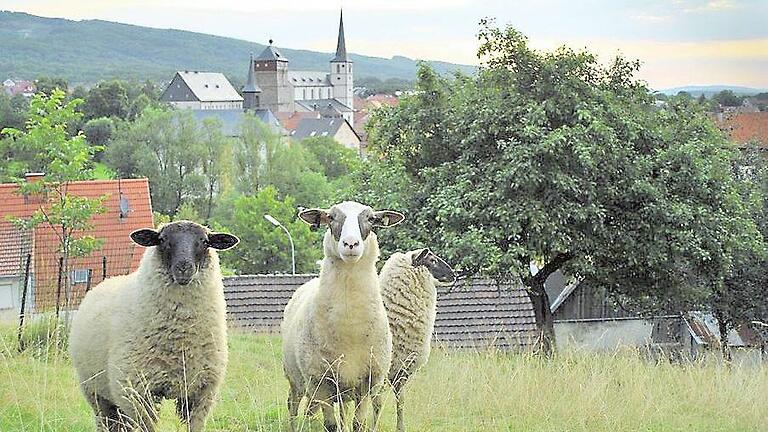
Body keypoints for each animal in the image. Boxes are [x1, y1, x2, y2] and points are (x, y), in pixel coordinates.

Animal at [72, 221, 242, 430]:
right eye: (162, 240)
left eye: (204, 241)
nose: (183, 267)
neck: (182, 339)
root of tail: (107, 281)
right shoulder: (137, 392)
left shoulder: (201, 393)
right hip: (96, 394)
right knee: (107, 421)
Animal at [280, 202, 402, 432]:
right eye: (330, 217)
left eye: (371, 219)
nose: (351, 243)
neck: (350, 323)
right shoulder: (321, 381)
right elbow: (330, 425)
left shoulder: (367, 382)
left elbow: (358, 424)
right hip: (295, 378)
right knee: (293, 405)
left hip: (344, 390)